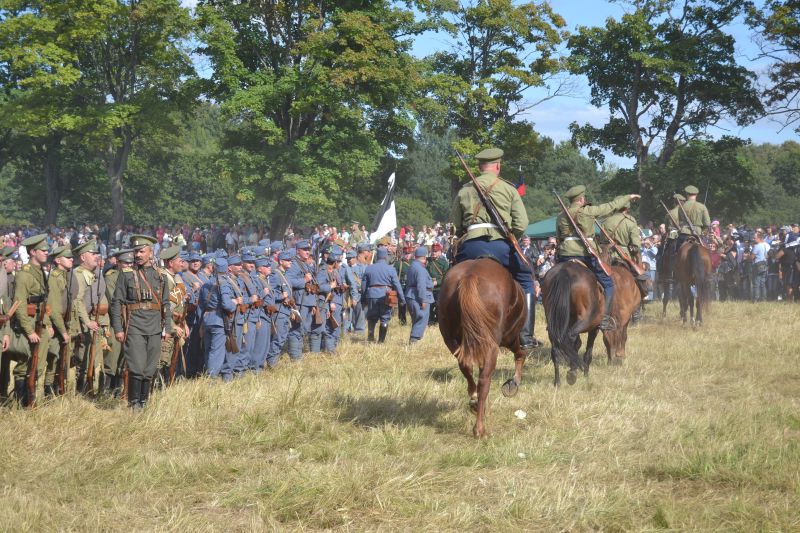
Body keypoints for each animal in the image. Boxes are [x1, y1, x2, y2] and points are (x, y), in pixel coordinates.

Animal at [434, 256, 528, 436]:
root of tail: (469, 276)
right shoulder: (510, 338)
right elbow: (521, 354)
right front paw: (513, 383)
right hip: (493, 344)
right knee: (484, 380)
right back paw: (479, 429)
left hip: (452, 341)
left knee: (466, 367)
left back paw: (474, 400)